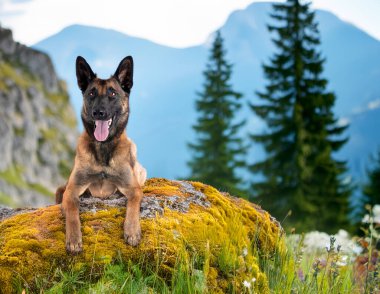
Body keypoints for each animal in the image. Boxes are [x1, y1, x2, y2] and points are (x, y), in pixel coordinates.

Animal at [55, 56, 146, 254]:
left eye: (112, 94)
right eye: (91, 94)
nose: (99, 113)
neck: (103, 149)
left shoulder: (132, 187)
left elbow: (133, 202)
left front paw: (132, 231)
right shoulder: (72, 189)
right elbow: (72, 208)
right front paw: (74, 238)